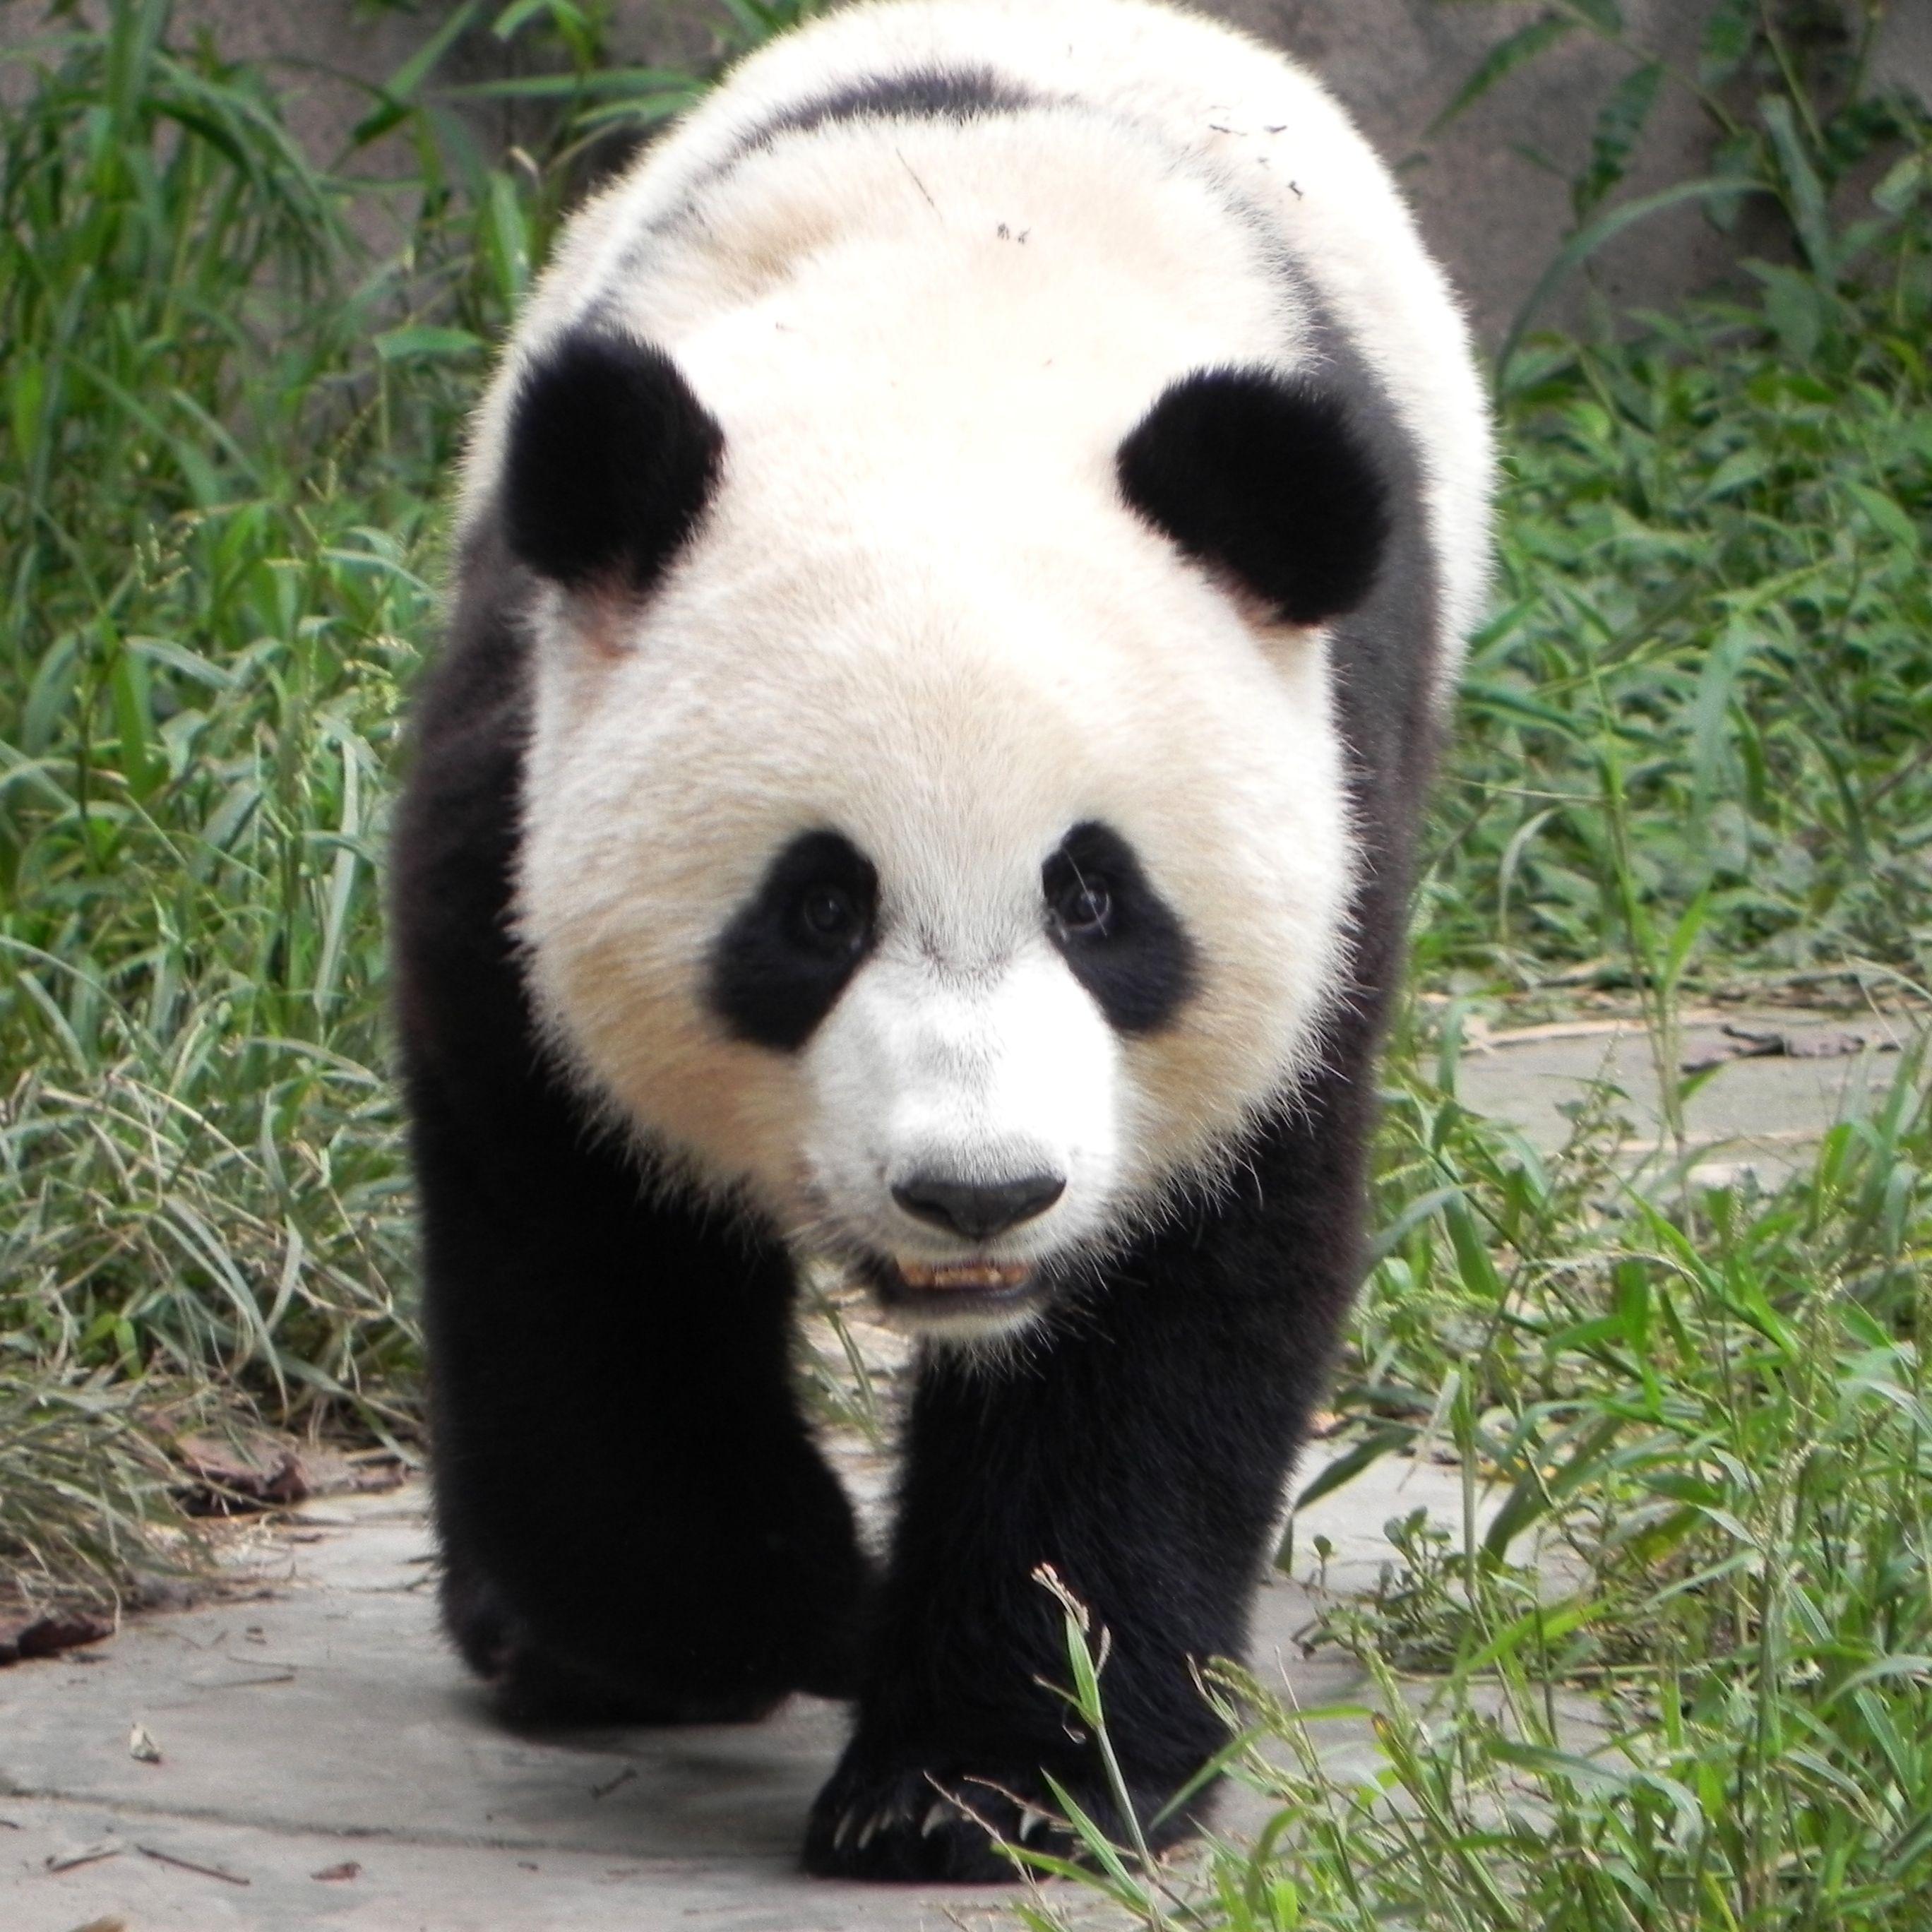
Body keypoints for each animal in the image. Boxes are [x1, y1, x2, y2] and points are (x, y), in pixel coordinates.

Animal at [390, 0, 1493, 1885]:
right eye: (819, 907)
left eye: (1095, 898)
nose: (977, 1194)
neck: (958, 328)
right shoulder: (522, 766)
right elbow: (570, 1222)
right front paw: (743, 1614)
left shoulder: (1327, 825)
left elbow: (1175, 1295)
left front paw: (991, 1778)